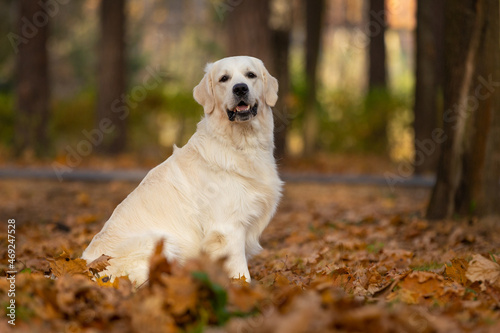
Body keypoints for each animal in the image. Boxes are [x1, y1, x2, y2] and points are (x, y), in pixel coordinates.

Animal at [84, 55, 284, 284]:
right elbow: (240, 271)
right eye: (224, 78)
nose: (240, 88)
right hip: (162, 241)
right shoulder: (227, 228)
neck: (240, 144)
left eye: (251, 75)